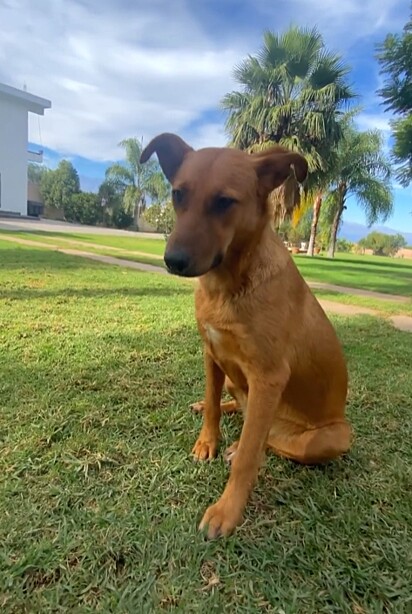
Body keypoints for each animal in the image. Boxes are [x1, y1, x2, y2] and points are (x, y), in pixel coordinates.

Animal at [140, 134, 350, 540]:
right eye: (178, 194)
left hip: (332, 437)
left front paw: (227, 510)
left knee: (266, 440)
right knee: (235, 405)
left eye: (224, 201)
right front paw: (208, 439)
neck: (227, 287)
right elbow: (212, 400)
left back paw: (242, 444)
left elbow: (251, 454)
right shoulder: (211, 353)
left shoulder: (268, 378)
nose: (173, 261)